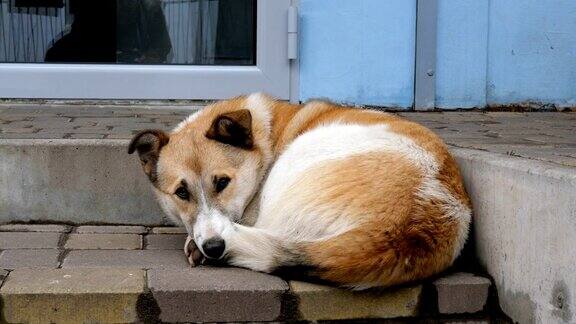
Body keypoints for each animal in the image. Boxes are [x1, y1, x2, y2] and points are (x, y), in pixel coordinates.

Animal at [128, 93, 470, 288]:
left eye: (222, 182)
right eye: (182, 193)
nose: (213, 247)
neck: (265, 138)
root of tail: (406, 228)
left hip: (296, 162)